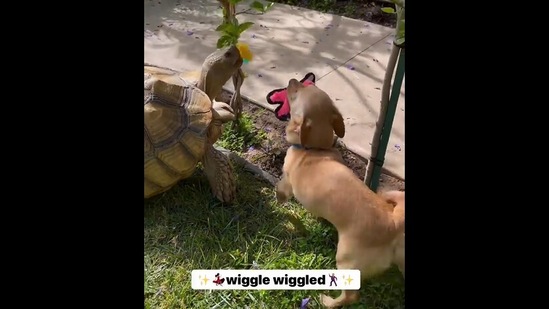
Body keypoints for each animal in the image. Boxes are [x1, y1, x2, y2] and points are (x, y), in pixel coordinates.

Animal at [276, 132, 404, 306]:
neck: (315, 150)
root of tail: (393, 223)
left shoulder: (287, 180)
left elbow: (281, 188)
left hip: (346, 261)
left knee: (351, 296)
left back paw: (327, 301)